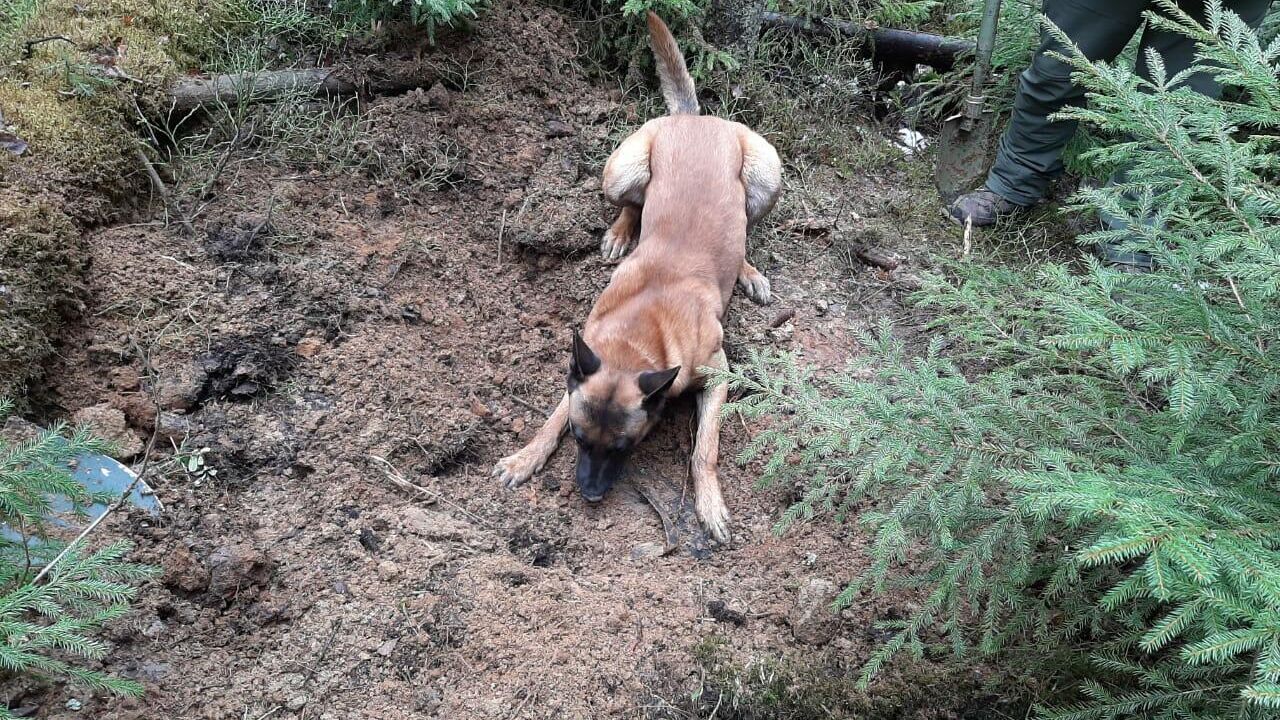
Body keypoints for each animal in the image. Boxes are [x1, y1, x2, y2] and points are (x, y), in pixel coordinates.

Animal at [491, 12, 778, 538]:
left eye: (626, 447)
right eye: (579, 439)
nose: (589, 494)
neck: (640, 337)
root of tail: (693, 119)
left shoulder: (718, 374)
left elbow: (705, 450)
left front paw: (709, 504)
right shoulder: (582, 369)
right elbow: (551, 416)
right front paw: (526, 457)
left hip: (768, 175)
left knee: (747, 229)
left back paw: (748, 271)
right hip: (621, 171)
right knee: (632, 203)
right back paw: (621, 233)